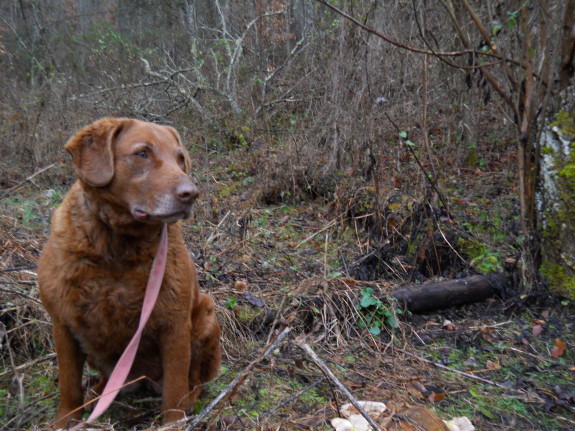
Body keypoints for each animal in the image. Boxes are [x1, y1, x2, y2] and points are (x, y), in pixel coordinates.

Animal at [38, 117, 222, 428]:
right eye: (142, 153)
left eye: (180, 158)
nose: (191, 194)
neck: (116, 248)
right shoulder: (62, 324)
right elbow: (68, 384)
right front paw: (65, 422)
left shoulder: (174, 325)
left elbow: (174, 389)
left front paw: (174, 422)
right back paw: (98, 393)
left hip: (206, 317)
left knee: (193, 379)